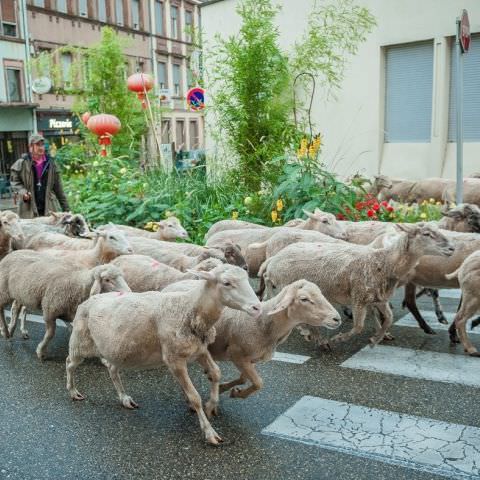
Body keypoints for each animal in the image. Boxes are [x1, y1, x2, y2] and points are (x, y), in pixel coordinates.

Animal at [65, 264, 260, 444]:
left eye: (246, 278)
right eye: (226, 283)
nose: (257, 307)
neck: (188, 308)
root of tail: (92, 297)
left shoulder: (200, 350)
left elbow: (216, 373)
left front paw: (212, 405)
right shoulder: (174, 359)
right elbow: (194, 397)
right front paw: (209, 432)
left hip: (116, 349)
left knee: (112, 369)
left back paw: (124, 398)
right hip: (80, 342)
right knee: (70, 363)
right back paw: (73, 391)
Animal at [258, 223, 454, 346]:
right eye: (426, 234)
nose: (452, 248)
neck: (382, 260)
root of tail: (273, 260)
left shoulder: (378, 298)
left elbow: (389, 318)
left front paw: (378, 337)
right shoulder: (359, 297)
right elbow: (359, 326)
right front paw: (339, 339)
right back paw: (315, 336)